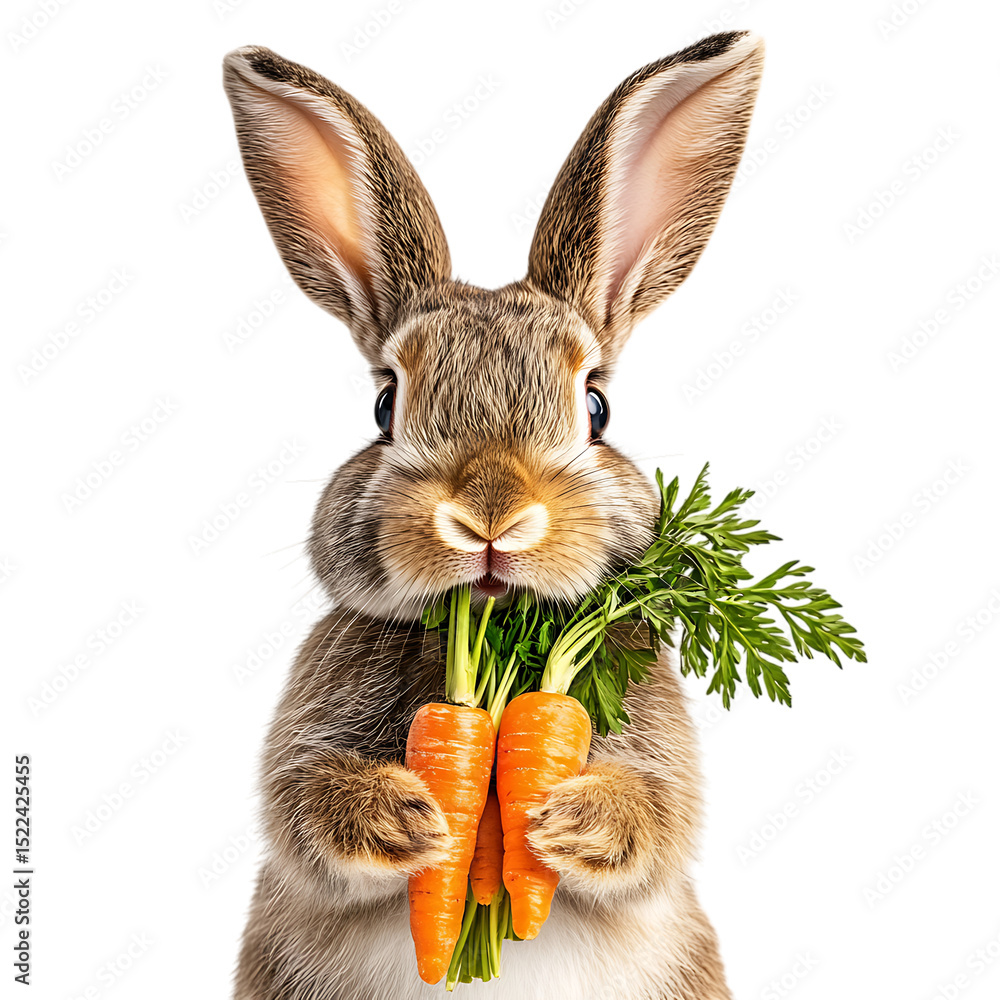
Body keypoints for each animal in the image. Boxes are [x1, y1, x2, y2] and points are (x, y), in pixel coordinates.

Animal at [223, 29, 764, 1000]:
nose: (489, 516)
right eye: (384, 407)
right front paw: (409, 818)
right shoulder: (307, 735)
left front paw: (569, 822)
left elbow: (660, 817)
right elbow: (303, 804)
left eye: (596, 408)